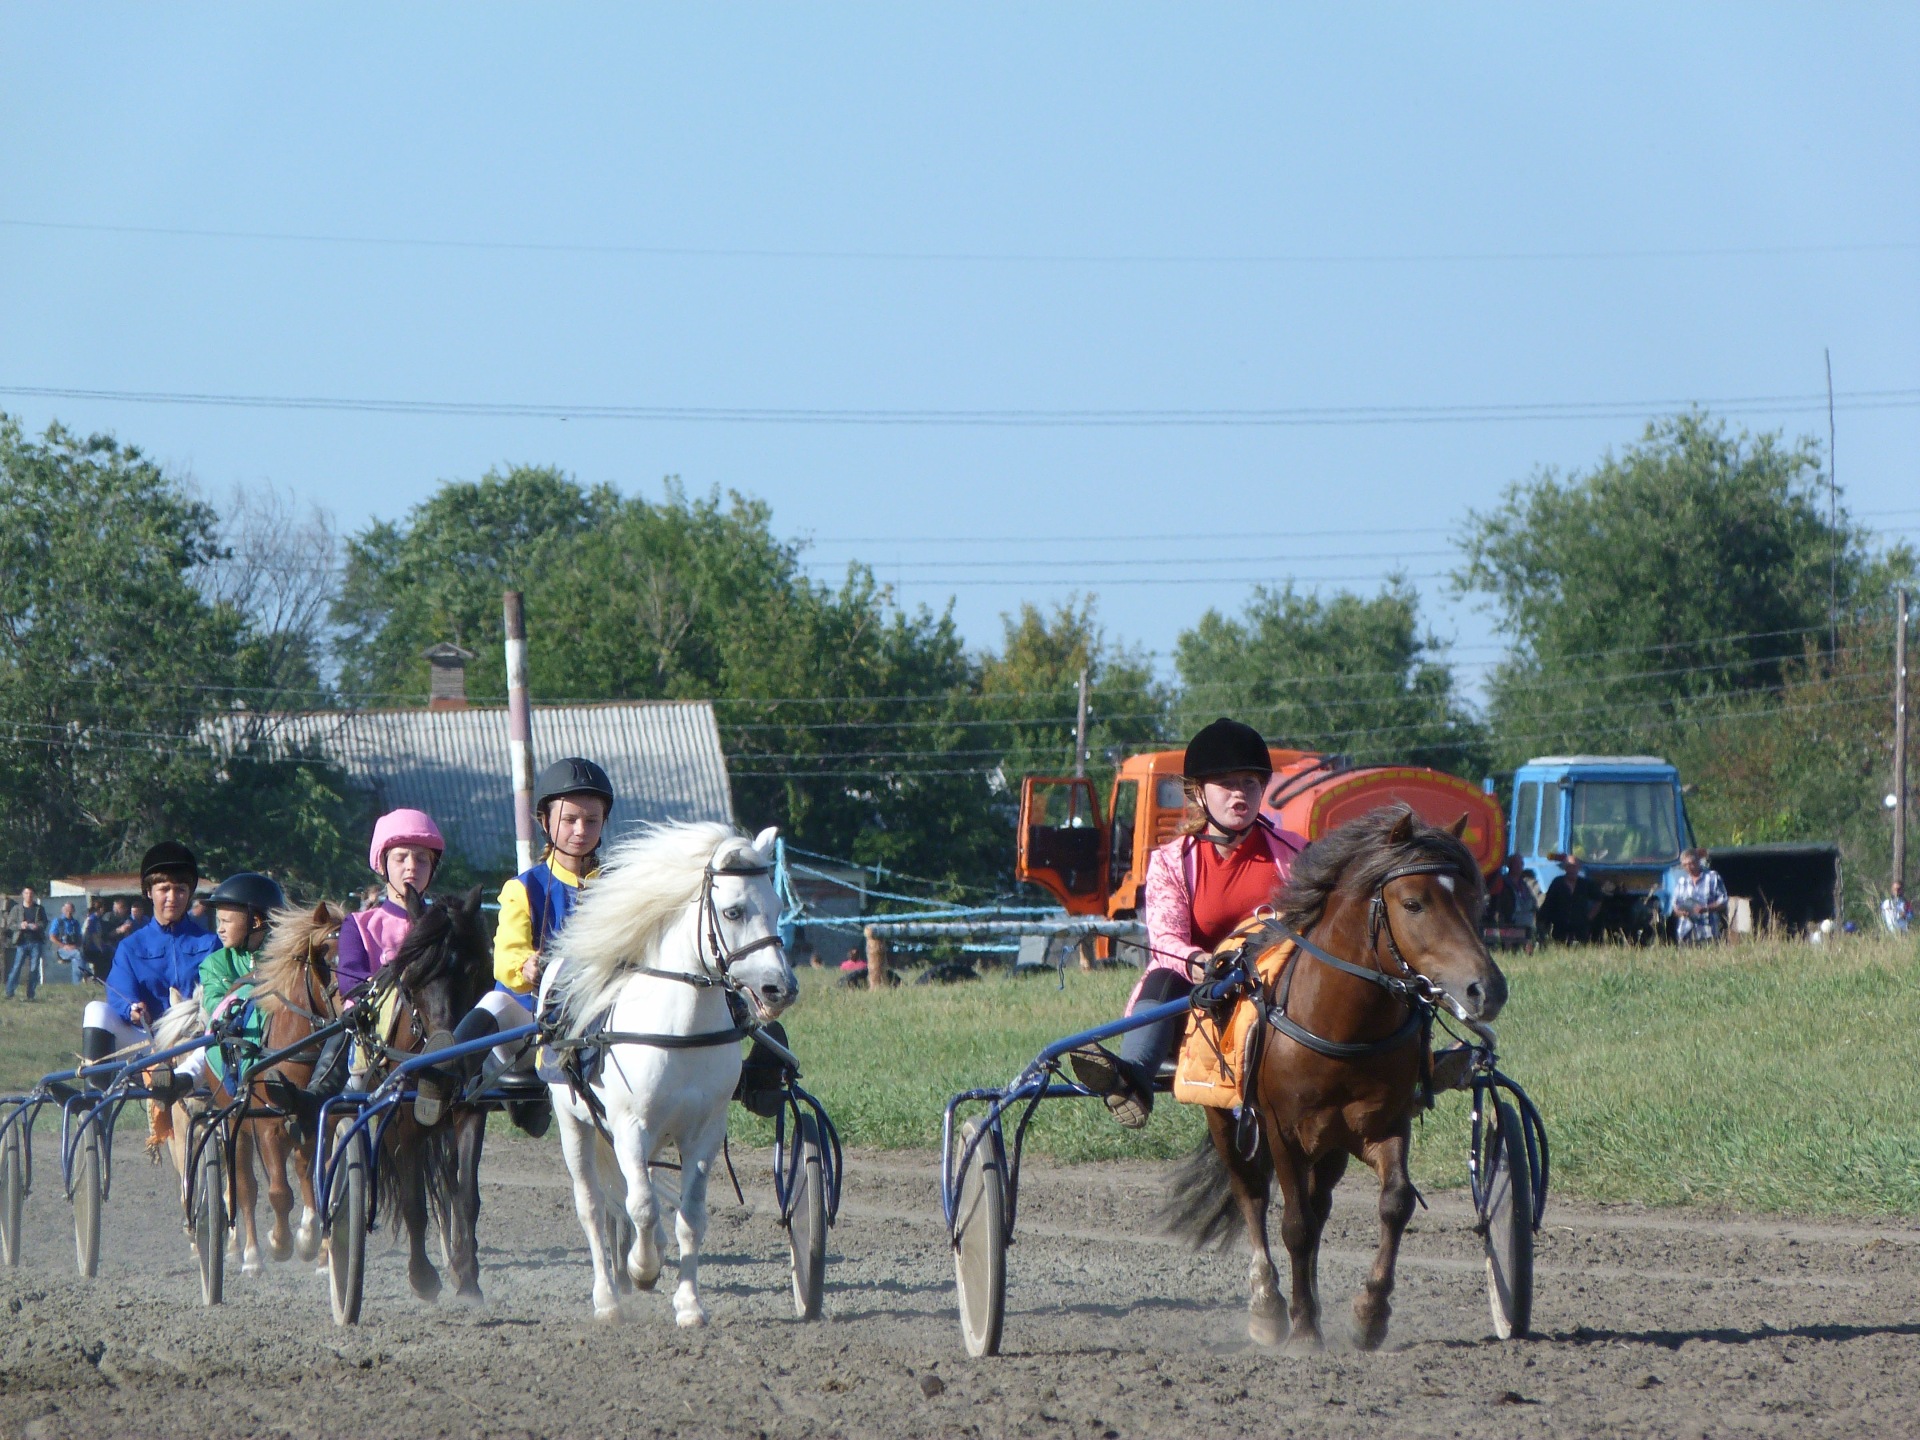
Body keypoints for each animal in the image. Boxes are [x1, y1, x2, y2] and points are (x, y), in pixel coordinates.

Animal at [543, 821, 798, 1327]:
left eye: (779, 908)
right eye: (733, 911)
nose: (780, 988)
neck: (681, 1031)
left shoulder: (704, 1132)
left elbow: (690, 1218)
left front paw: (689, 1303)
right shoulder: (628, 1128)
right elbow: (640, 1207)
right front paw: (642, 1269)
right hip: (574, 1125)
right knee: (593, 1207)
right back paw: (607, 1297)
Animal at [1165, 805, 1506, 1353]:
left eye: (1476, 900)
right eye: (1413, 903)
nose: (1488, 989)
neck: (1342, 1024)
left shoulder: (1382, 1124)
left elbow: (1395, 1203)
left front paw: (1370, 1314)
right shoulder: (1281, 1132)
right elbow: (1295, 1226)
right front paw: (1303, 1329)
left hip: (1329, 1146)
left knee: (1318, 1203)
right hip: (1225, 1121)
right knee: (1251, 1198)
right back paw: (1269, 1306)